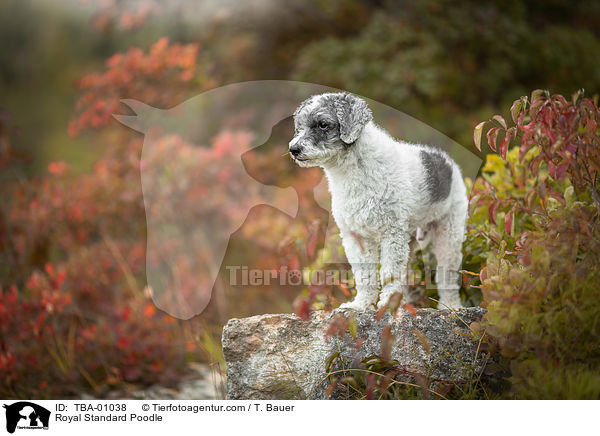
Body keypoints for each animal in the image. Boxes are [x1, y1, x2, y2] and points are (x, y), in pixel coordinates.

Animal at [290, 93, 468, 310]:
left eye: (323, 124)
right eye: (299, 125)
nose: (293, 149)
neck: (356, 170)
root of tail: (447, 161)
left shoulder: (392, 233)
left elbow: (389, 272)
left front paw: (387, 307)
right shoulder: (356, 236)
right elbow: (364, 275)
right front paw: (360, 305)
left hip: (449, 233)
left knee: (447, 275)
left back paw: (450, 306)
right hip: (409, 239)